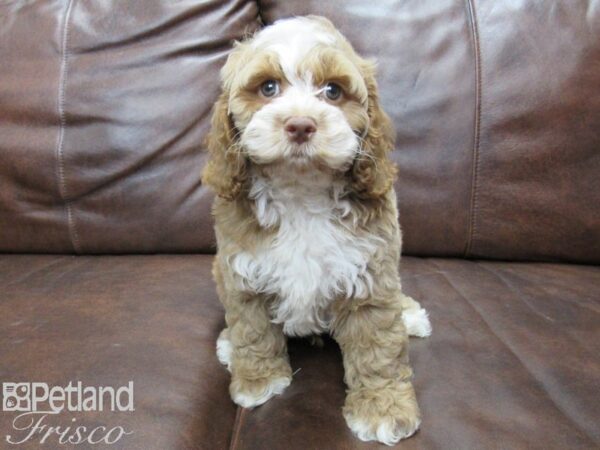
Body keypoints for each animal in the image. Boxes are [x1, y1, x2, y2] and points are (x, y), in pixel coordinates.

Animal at [203, 14, 432, 446]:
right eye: (268, 88)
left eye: (332, 91)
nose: (300, 125)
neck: (301, 192)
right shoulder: (241, 272)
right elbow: (252, 329)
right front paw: (258, 381)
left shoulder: (371, 274)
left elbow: (378, 346)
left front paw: (382, 409)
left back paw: (410, 316)